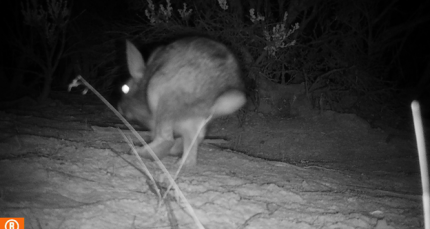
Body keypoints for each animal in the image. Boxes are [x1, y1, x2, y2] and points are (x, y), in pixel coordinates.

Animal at [117, 36, 245, 167]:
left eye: (125, 88)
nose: (119, 107)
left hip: (161, 95)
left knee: (166, 140)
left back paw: (138, 152)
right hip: (194, 120)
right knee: (192, 149)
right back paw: (178, 162)